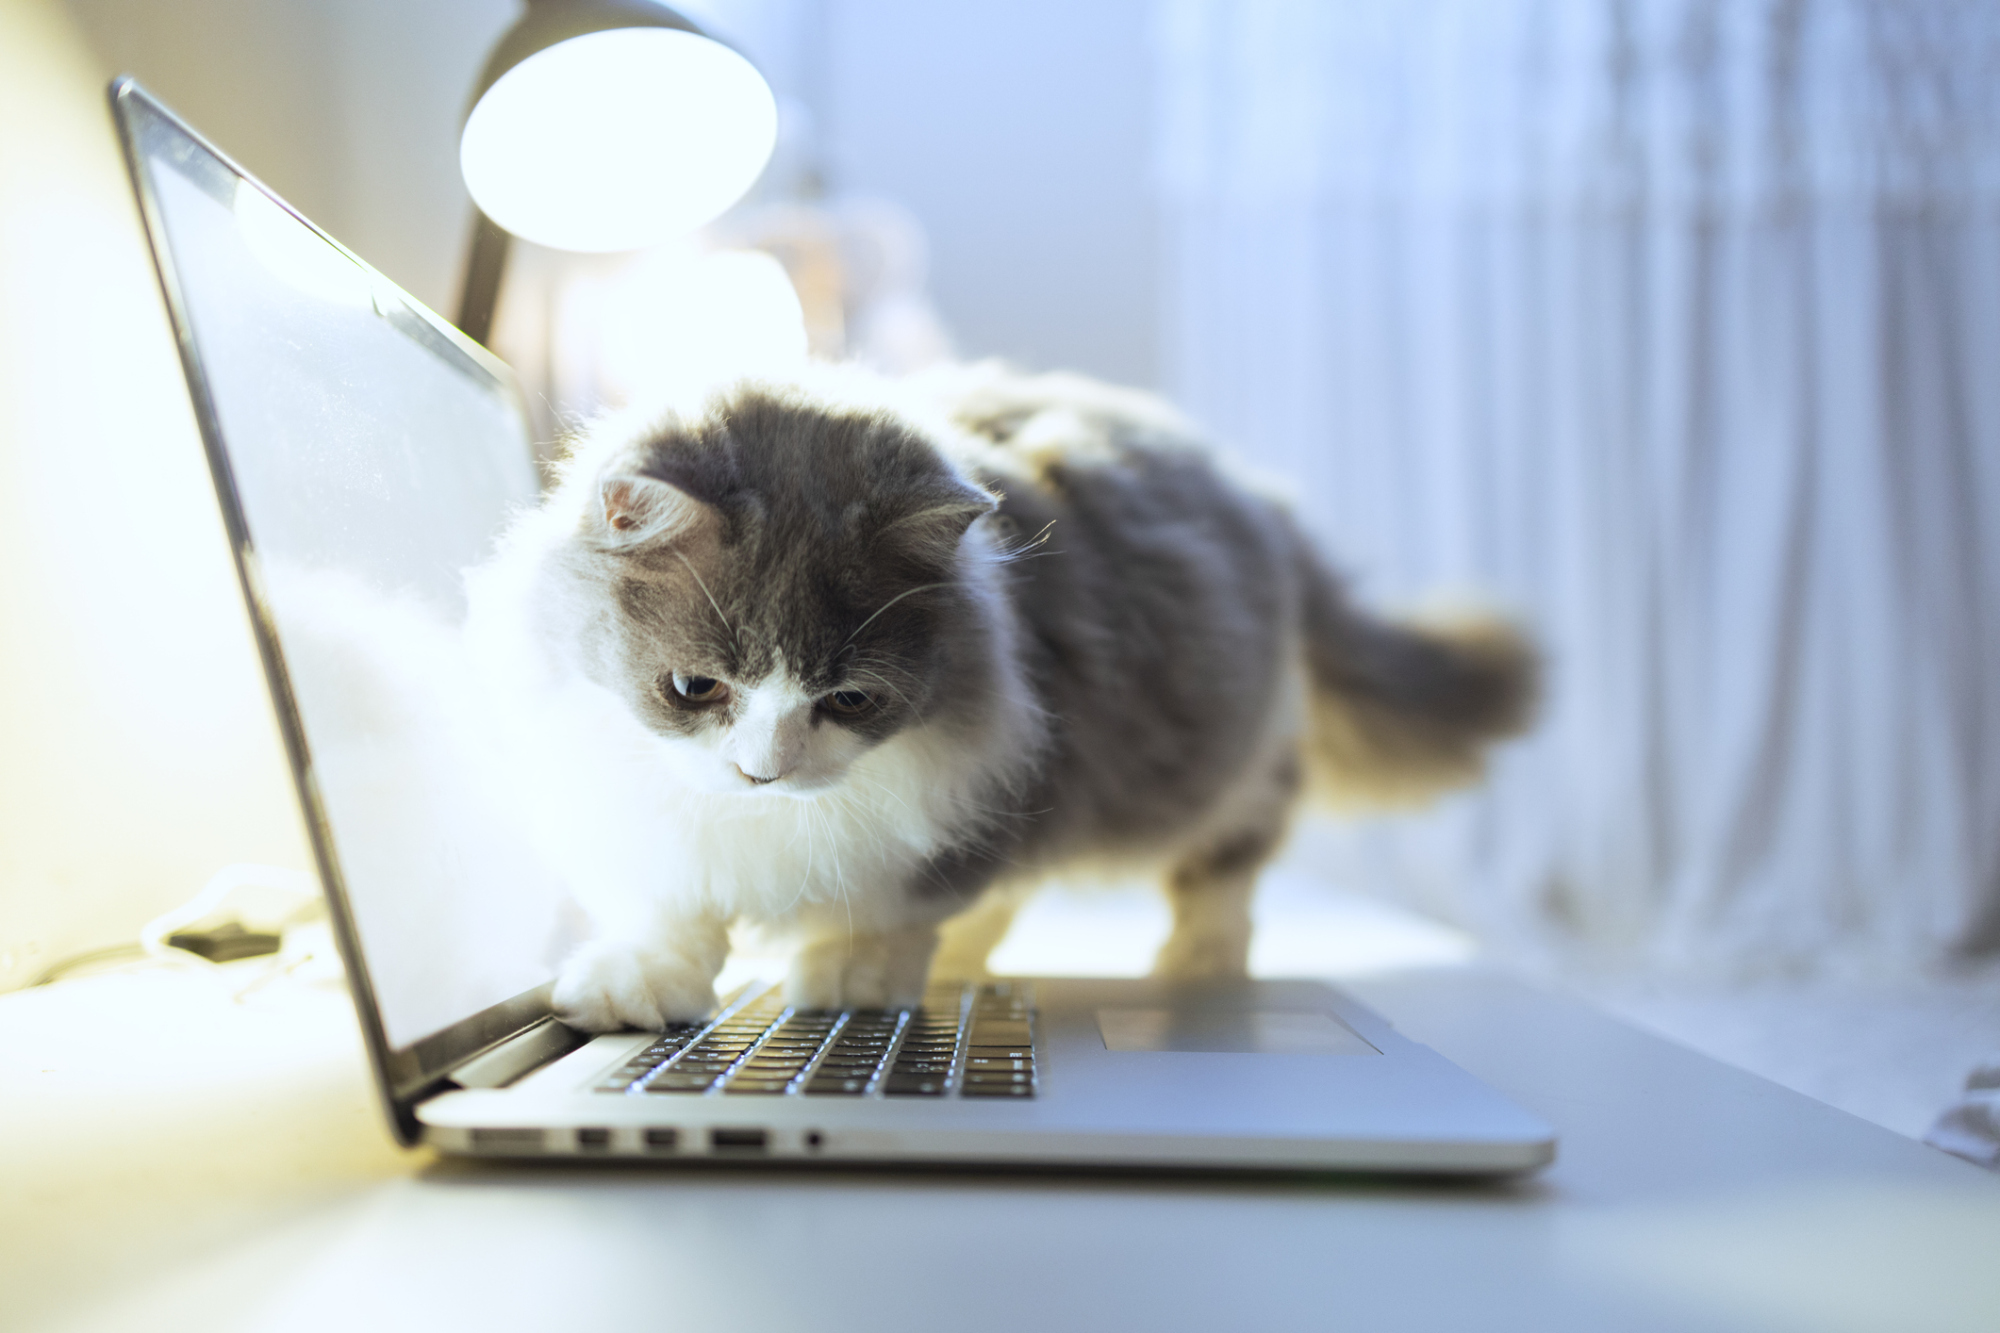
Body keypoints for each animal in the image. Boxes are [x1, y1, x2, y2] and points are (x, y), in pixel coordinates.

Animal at [468, 358, 1528, 1020]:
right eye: (694, 687)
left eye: (849, 701)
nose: (764, 773)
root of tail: (1261, 498)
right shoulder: (640, 813)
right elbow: (671, 908)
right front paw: (640, 983)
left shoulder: (993, 779)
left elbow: (895, 904)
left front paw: (850, 975)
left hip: (1225, 765)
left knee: (1224, 869)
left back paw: (1197, 966)